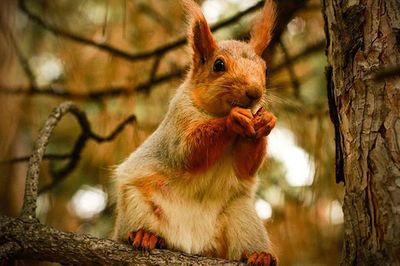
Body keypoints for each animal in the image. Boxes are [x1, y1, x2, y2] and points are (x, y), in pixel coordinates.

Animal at [111, 1, 276, 264]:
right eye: (218, 65)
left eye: (266, 69)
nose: (254, 92)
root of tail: (192, 245)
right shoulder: (179, 123)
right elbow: (189, 151)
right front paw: (233, 120)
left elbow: (246, 166)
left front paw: (267, 120)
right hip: (137, 204)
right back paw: (145, 235)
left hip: (242, 215)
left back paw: (258, 254)